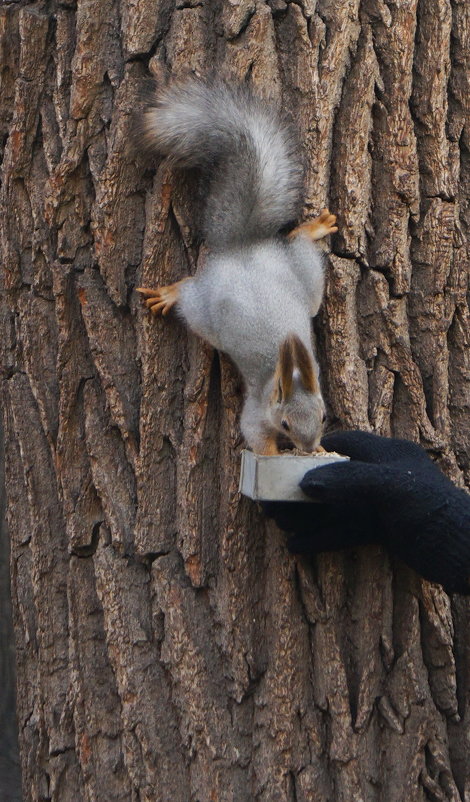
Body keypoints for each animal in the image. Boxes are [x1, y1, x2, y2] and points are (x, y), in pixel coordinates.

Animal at [138, 81, 336, 456]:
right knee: (189, 292)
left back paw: (311, 229)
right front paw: (273, 454)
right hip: (203, 312)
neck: (286, 377)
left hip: (300, 270)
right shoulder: (257, 412)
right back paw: (170, 293)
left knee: (299, 248)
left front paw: (320, 451)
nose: (306, 448)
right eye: (285, 423)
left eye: (323, 417)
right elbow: (255, 435)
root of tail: (241, 251)